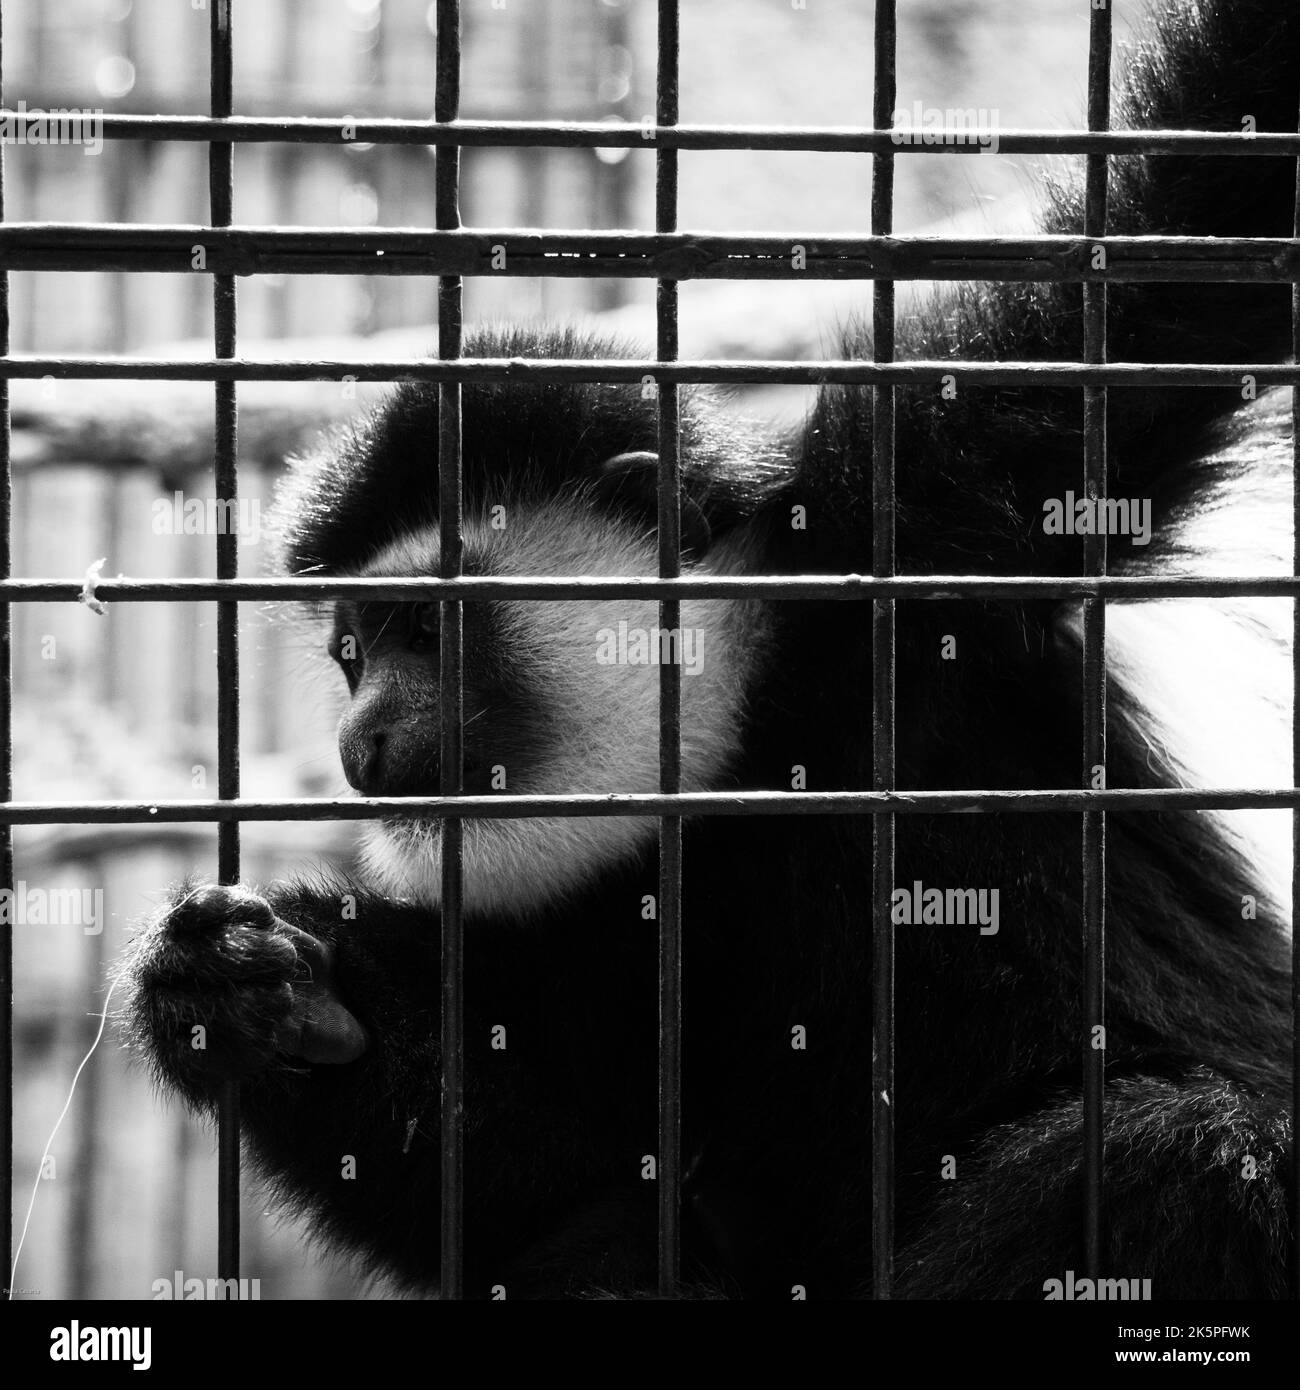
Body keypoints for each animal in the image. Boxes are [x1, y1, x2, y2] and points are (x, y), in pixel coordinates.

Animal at [125, 0, 1296, 1298]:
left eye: (422, 631)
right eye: (348, 653)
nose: (359, 735)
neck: (741, 742)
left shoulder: (934, 514)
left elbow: (1189, 240)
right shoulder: (578, 920)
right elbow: (554, 1173)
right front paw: (240, 987)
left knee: (1172, 1152)